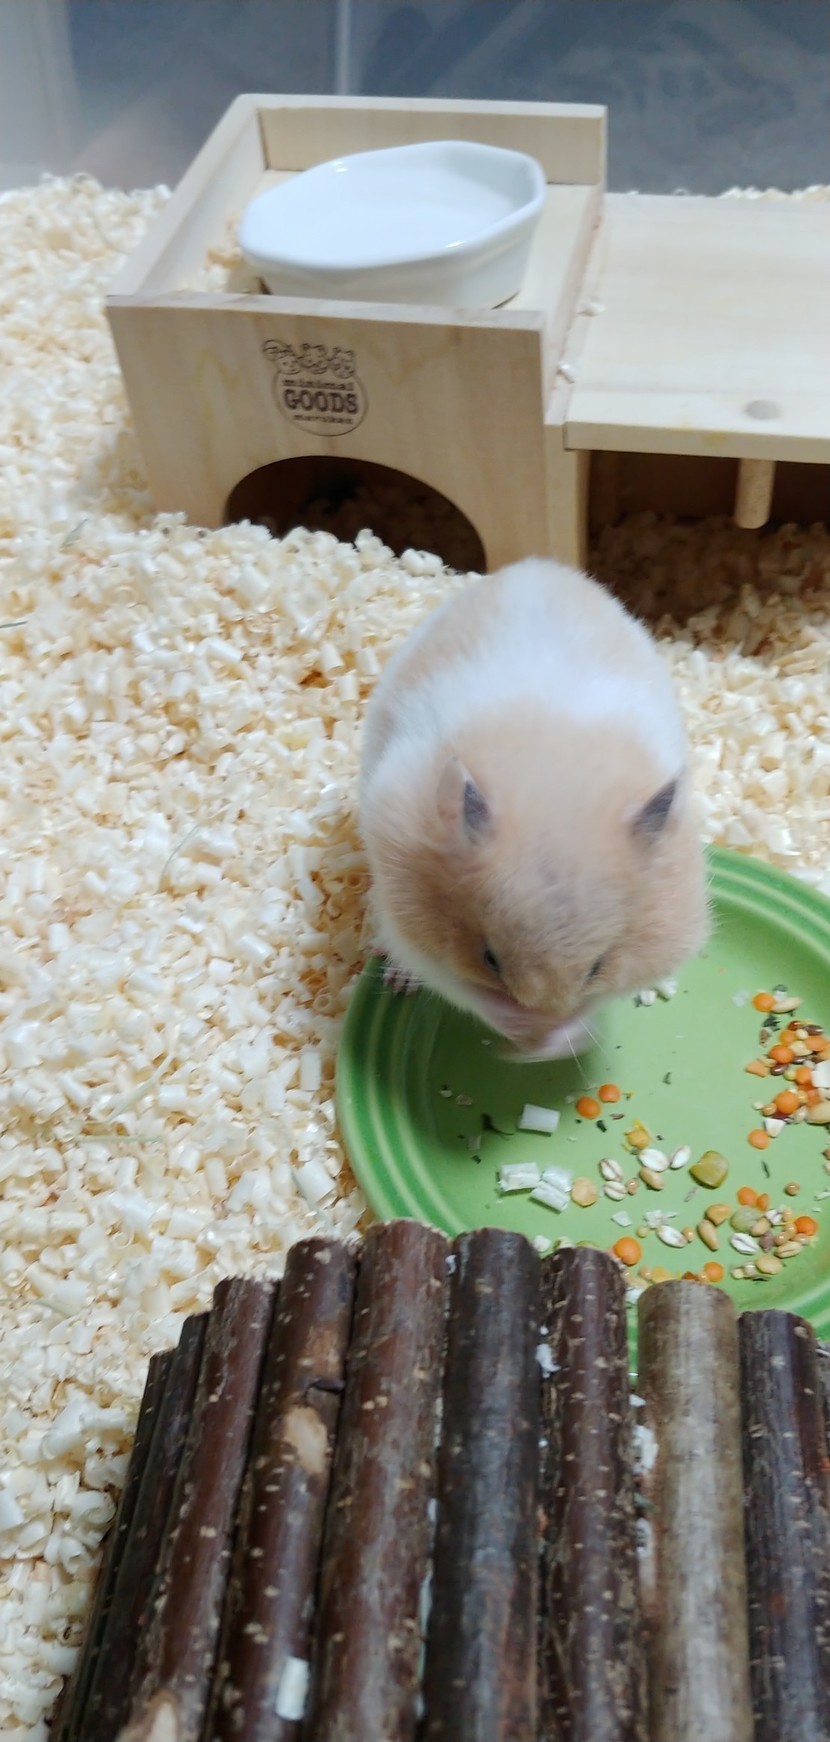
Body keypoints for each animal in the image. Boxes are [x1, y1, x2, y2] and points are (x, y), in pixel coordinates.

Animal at [359, 557, 708, 1060]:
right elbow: (461, 986)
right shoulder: (411, 921)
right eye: (489, 959)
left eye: (597, 967)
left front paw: (560, 1039)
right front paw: (524, 1034)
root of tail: (537, 567)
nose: (538, 1032)